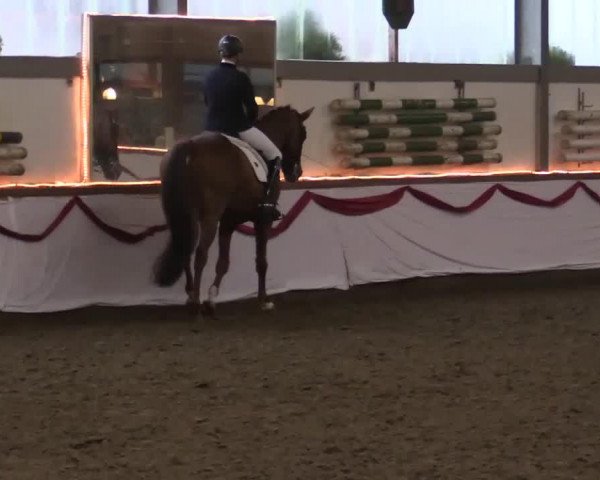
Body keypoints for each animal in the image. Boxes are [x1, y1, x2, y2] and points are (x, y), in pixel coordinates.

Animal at [151, 105, 314, 314]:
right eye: (303, 134)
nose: (296, 173)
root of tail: (189, 147)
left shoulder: (229, 221)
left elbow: (223, 263)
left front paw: (212, 298)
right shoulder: (263, 220)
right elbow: (261, 261)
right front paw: (263, 300)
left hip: (182, 215)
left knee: (185, 249)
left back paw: (190, 294)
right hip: (210, 217)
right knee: (200, 254)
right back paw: (195, 301)